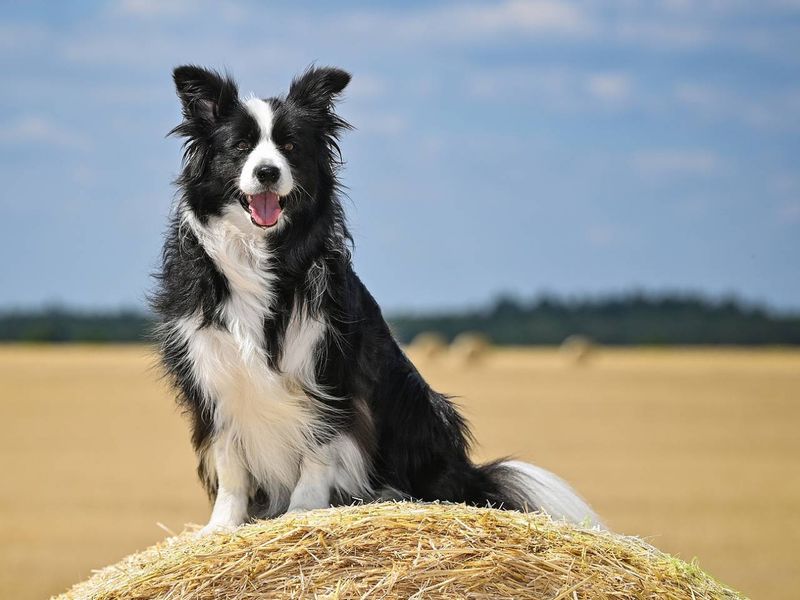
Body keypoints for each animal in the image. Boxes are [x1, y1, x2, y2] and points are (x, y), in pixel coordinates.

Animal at [155, 65, 600, 536]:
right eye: (239, 146)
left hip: (421, 409)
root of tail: (469, 474)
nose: (268, 172)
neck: (262, 254)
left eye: (290, 146)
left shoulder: (330, 371)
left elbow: (318, 446)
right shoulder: (214, 376)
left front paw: (303, 510)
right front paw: (221, 526)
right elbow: (230, 463)